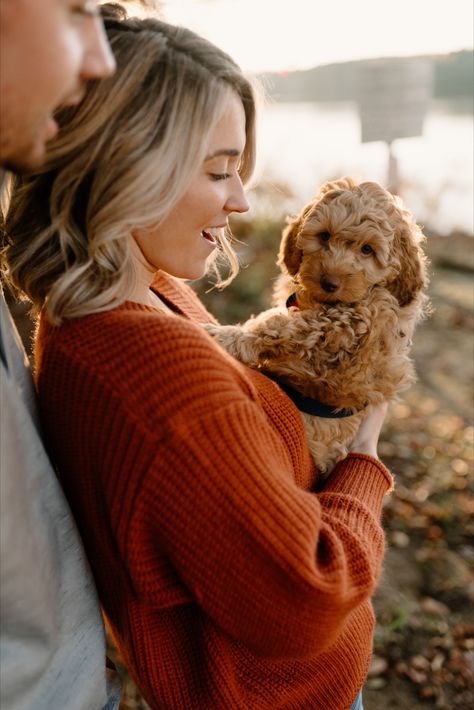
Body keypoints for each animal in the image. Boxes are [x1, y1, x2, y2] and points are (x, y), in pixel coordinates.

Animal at [206, 177, 432, 476]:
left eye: (367, 250)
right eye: (324, 236)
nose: (329, 282)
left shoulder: (347, 325)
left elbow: (280, 327)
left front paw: (229, 336)